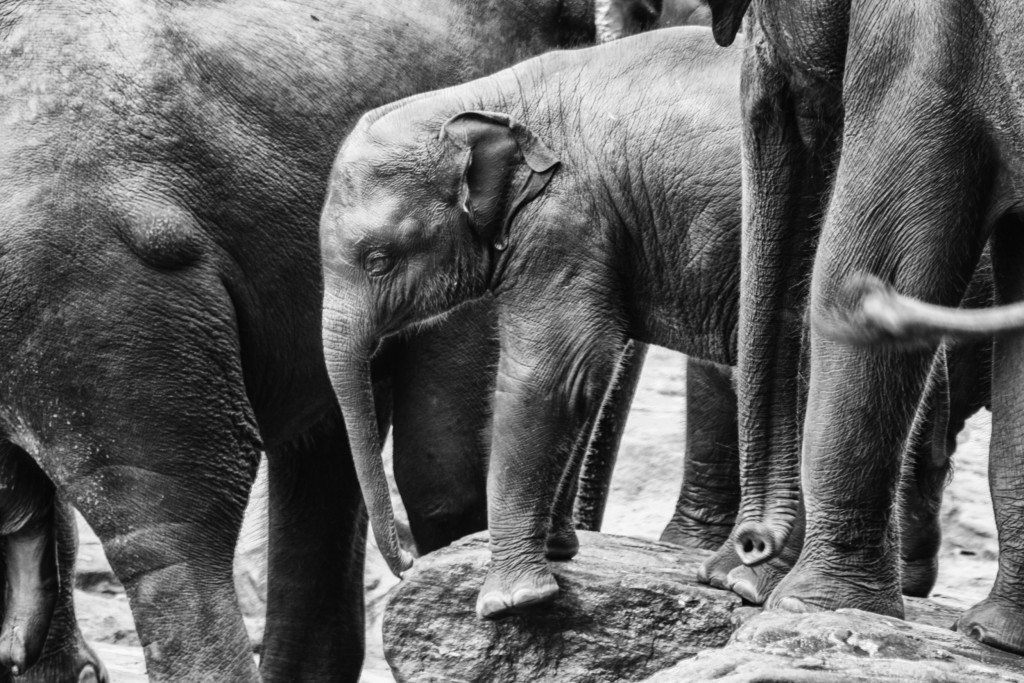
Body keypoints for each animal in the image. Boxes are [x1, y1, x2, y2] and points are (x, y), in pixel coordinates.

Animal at [318, 25, 992, 618]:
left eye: (378, 260)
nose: (406, 563)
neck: (484, 97)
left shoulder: (569, 219)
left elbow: (555, 372)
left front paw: (510, 604)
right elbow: (587, 374)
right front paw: (558, 552)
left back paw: (752, 585)